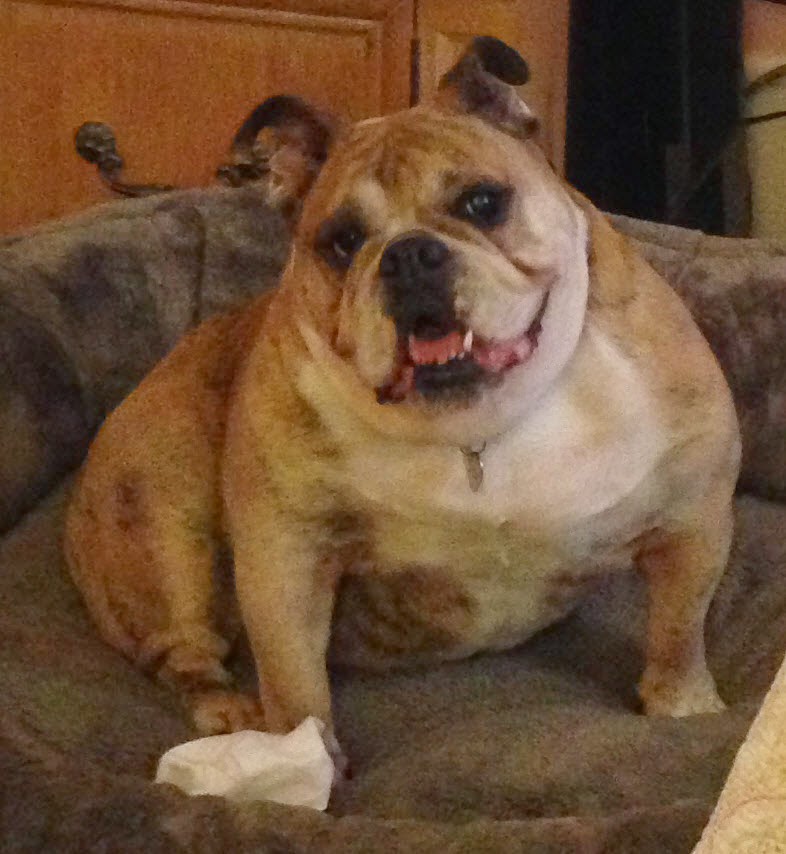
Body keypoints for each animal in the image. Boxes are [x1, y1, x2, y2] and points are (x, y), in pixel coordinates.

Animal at [64, 37, 740, 770]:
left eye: (482, 203)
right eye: (341, 242)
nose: (410, 255)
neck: (478, 430)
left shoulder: (694, 516)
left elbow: (679, 626)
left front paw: (683, 706)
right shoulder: (284, 554)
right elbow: (293, 678)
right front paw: (305, 759)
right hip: (163, 527)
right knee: (184, 650)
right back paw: (229, 714)